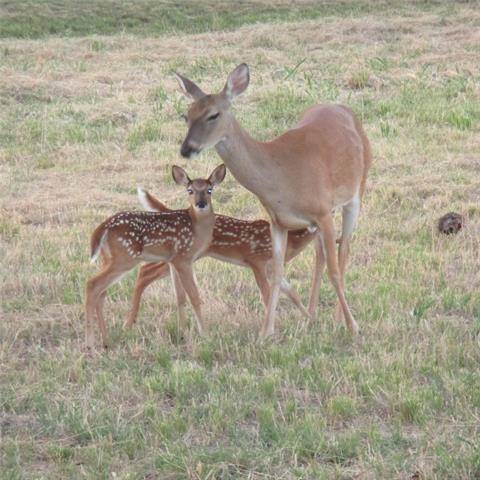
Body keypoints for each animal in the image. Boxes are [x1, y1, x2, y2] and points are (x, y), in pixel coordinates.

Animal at [85, 163, 227, 346]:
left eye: (210, 190)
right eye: (190, 190)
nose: (201, 204)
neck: (197, 229)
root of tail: (103, 227)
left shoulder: (173, 261)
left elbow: (180, 297)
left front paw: (182, 333)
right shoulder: (183, 258)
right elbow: (194, 296)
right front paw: (205, 335)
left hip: (108, 258)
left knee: (101, 291)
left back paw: (106, 340)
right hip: (125, 258)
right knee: (92, 284)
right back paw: (90, 343)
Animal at [124, 187, 316, 326]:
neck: (291, 242)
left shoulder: (270, 268)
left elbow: (292, 293)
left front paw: (310, 320)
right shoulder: (256, 260)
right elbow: (267, 296)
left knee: (148, 270)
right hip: (184, 256)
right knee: (145, 270)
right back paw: (129, 322)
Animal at [175, 63, 372, 340]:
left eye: (213, 115)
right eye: (186, 115)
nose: (186, 149)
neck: (280, 178)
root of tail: (344, 109)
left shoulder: (322, 212)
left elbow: (334, 270)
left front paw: (353, 326)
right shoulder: (278, 221)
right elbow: (278, 274)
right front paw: (265, 333)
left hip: (356, 192)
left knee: (344, 249)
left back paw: (338, 319)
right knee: (320, 255)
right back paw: (311, 318)